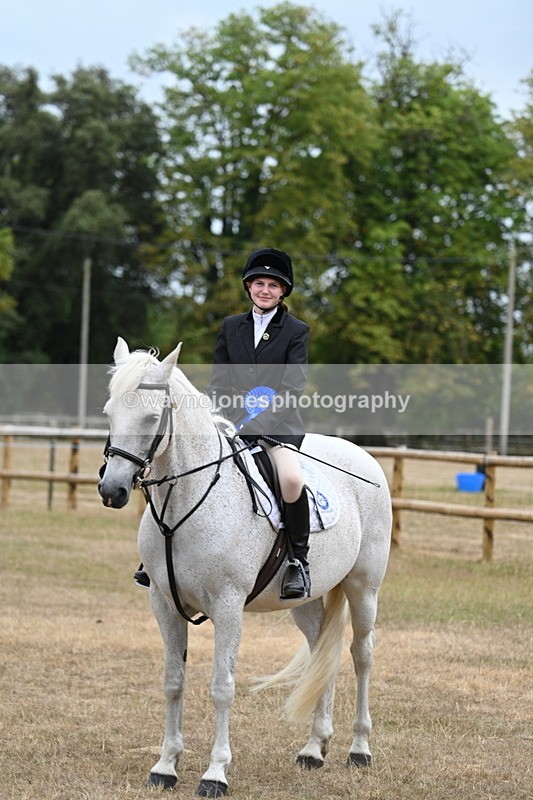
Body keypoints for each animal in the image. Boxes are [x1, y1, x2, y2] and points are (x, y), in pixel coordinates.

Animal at [98, 337, 392, 797]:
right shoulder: (163, 604)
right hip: (306, 601)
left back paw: (359, 749)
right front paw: (165, 766)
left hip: (364, 588)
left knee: (362, 655)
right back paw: (314, 749)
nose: (111, 491)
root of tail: (363, 454)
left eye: (150, 416)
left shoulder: (228, 606)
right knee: (321, 654)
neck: (187, 501)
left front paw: (215, 773)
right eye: (109, 413)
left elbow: (222, 687)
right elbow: (173, 682)